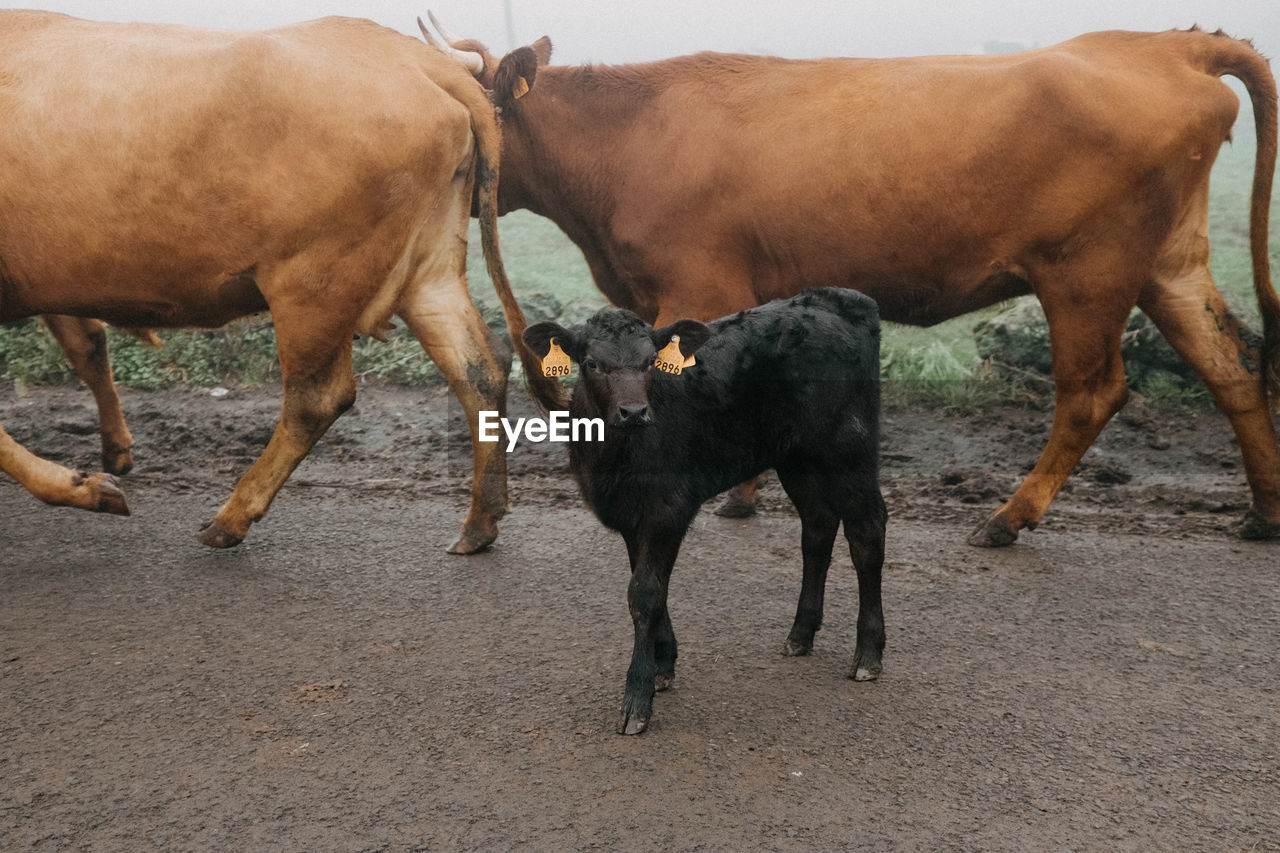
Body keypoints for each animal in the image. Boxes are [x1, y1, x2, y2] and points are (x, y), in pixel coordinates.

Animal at [0, 11, 560, 550]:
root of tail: (419, 60)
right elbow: (85, 346)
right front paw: (107, 463)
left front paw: (84, 487)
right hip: (427, 269)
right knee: (479, 366)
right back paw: (480, 524)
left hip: (314, 280)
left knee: (317, 398)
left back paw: (232, 517)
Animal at [424, 21, 1274, 550]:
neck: (625, 139)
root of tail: (1164, 47)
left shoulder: (698, 284)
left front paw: (730, 493)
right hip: (1167, 263)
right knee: (1232, 363)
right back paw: (1262, 509)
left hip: (1086, 271)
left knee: (1094, 393)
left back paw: (1008, 516)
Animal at [524, 285, 885, 732]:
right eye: (591, 363)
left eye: (649, 361)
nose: (633, 412)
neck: (615, 457)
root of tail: (838, 299)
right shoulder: (630, 516)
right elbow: (652, 587)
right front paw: (663, 666)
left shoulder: (667, 508)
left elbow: (644, 592)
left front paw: (637, 697)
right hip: (797, 456)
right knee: (817, 527)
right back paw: (801, 634)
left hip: (849, 445)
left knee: (867, 533)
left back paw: (868, 653)